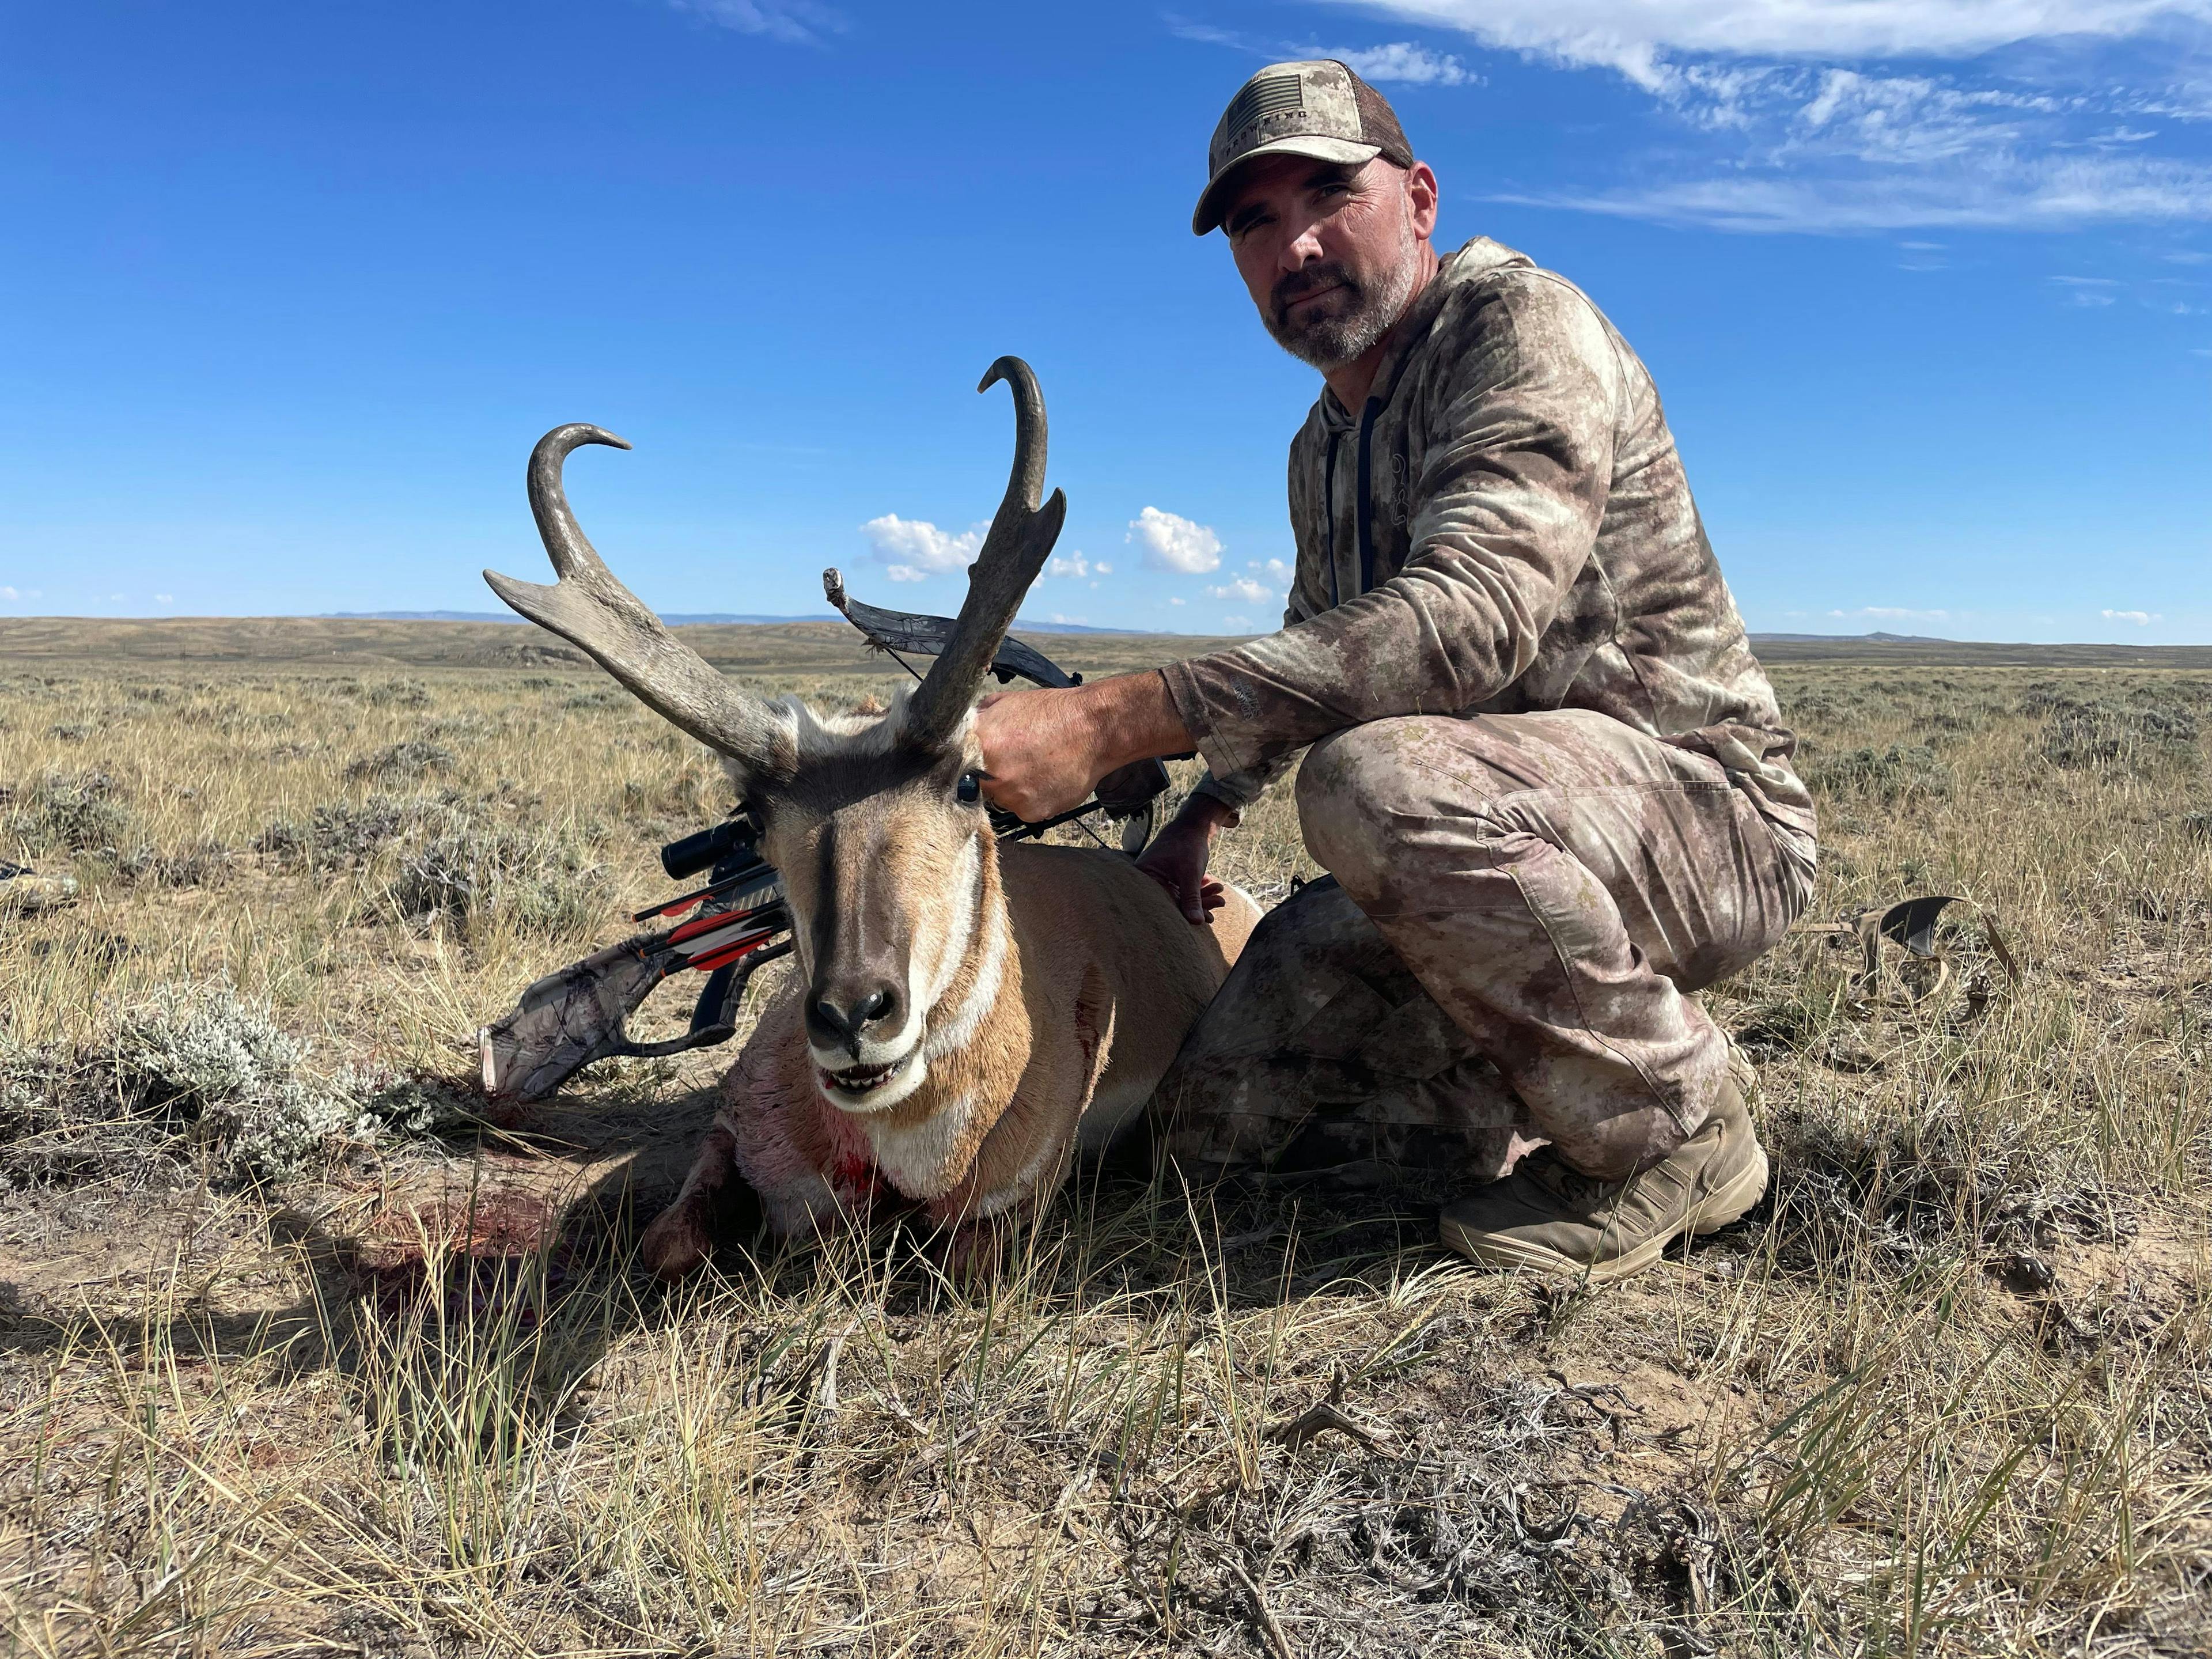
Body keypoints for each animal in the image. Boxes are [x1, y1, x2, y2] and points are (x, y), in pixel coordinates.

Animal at [491, 360, 1265, 1274]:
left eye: (970, 783)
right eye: (751, 814)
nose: (853, 1015)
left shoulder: (1001, 1223)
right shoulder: (734, 1134)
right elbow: (669, 1240)